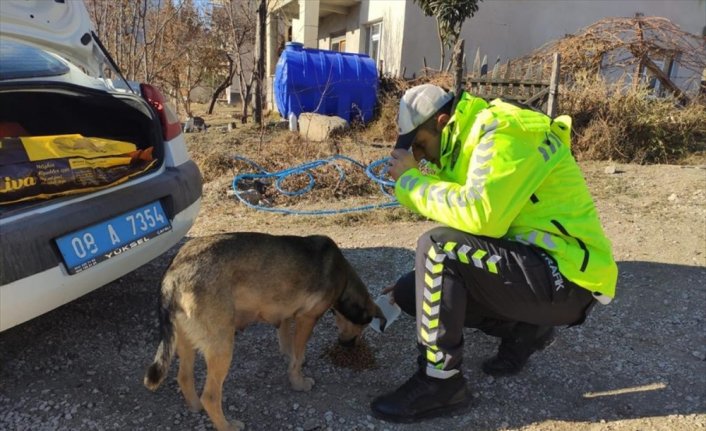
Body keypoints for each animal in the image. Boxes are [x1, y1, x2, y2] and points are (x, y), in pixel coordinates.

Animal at [143, 233, 384, 431]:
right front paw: (298, 382)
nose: (348, 345)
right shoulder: (306, 319)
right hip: (222, 345)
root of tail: (174, 273)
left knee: (184, 377)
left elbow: (289, 347)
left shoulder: (286, 315)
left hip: (185, 341)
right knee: (210, 396)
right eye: (363, 327)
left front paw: (294, 361)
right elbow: (297, 356)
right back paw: (227, 426)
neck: (344, 278)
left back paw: (195, 407)